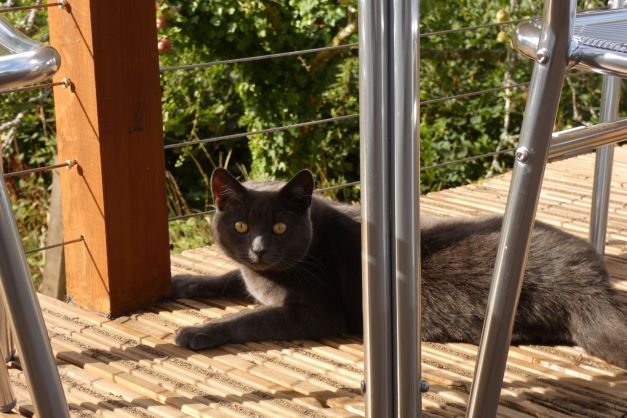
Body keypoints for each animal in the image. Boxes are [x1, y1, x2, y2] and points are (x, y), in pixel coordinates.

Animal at [173, 168, 627, 368]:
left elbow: (251, 318)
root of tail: (594, 280)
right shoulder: (250, 274)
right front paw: (185, 281)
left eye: (281, 227)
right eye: (241, 226)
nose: (259, 249)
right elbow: (230, 277)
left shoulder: (319, 312)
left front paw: (197, 331)